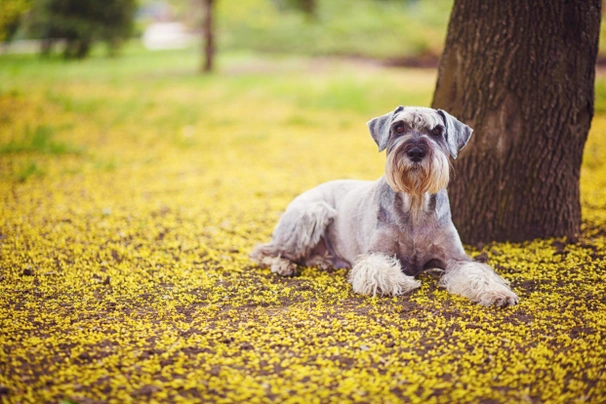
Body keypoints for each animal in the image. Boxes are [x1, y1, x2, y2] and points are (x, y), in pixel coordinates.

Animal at [252, 105, 516, 306]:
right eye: (399, 127)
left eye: (437, 131)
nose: (416, 151)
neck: (415, 204)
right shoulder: (375, 254)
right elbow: (379, 270)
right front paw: (405, 281)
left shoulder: (457, 259)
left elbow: (478, 273)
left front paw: (498, 293)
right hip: (313, 213)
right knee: (264, 250)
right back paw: (283, 265)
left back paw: (322, 261)